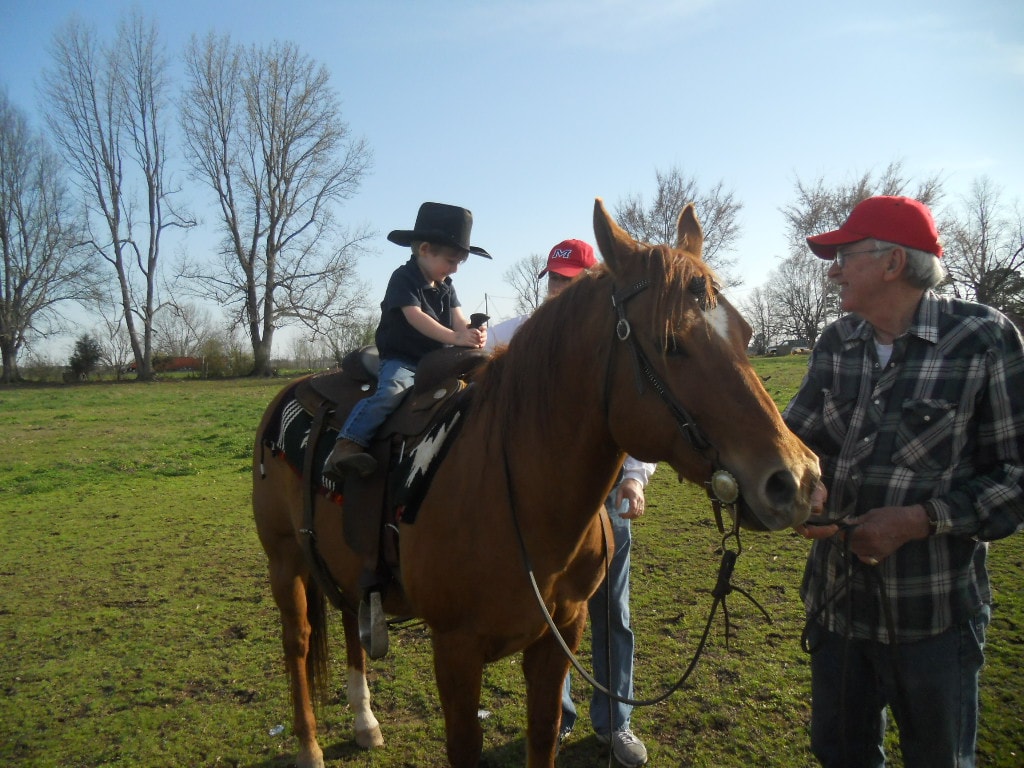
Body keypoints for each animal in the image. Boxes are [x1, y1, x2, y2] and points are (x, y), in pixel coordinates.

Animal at [256, 199, 823, 768]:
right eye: (671, 343)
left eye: (745, 333)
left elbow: (545, 731)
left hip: (346, 570)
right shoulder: (455, 652)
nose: (797, 479)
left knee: (350, 623)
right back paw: (309, 745)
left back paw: (365, 722)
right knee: (297, 643)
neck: (518, 496)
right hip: (285, 562)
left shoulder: (559, 637)